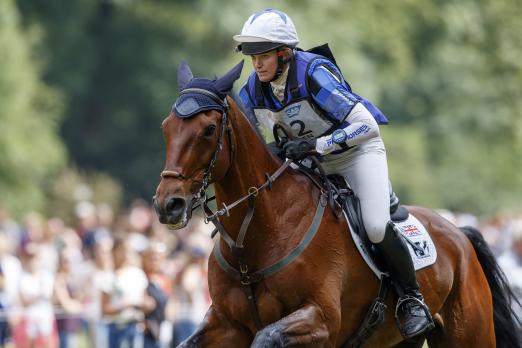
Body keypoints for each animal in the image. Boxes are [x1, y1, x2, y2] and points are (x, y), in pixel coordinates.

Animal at [152, 61, 516, 346]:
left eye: (209, 129)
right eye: (166, 127)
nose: (168, 205)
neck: (255, 237)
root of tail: (459, 234)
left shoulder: (321, 321)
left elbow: (267, 337)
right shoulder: (225, 324)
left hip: (469, 333)